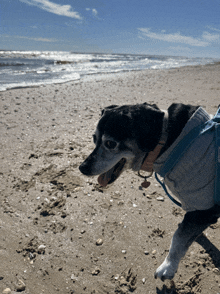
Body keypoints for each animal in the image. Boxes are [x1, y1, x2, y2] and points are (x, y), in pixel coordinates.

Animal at [79, 103, 220, 280]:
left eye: (110, 143)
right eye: (94, 138)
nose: (82, 168)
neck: (167, 141)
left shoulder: (204, 209)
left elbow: (179, 238)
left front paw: (168, 267)